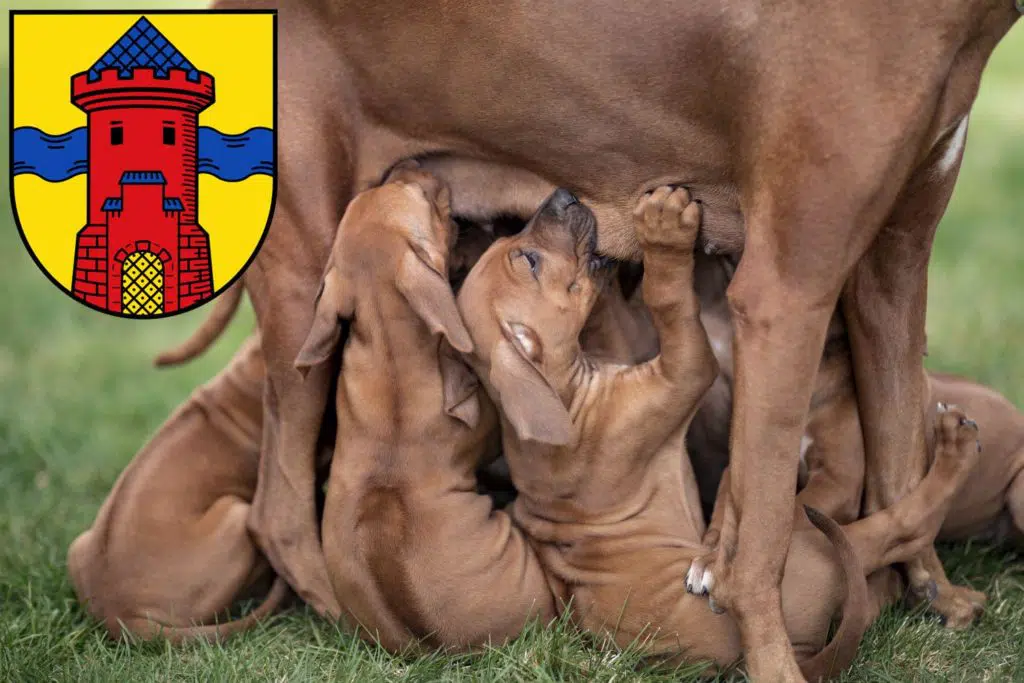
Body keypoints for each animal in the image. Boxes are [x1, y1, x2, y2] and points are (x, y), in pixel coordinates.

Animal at [452, 185, 978, 679]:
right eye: (529, 261)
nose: (559, 196)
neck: (566, 395)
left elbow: (734, 499)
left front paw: (710, 553)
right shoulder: (686, 373)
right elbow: (669, 303)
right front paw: (665, 232)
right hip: (820, 550)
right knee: (899, 523)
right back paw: (957, 449)